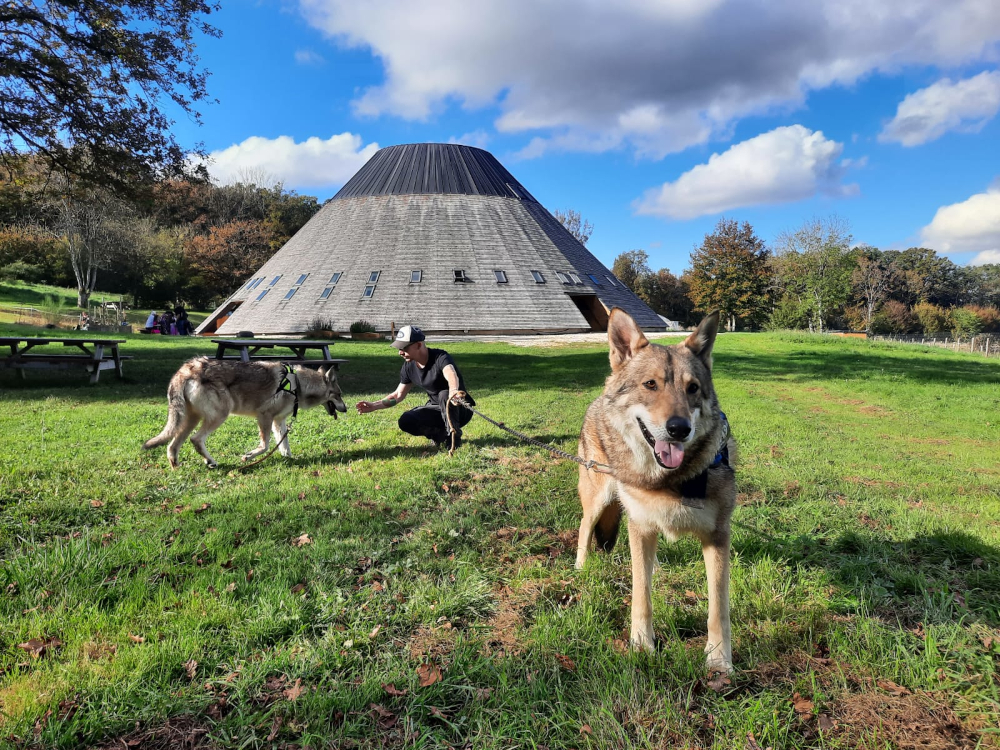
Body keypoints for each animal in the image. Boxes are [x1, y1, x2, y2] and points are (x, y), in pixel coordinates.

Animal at [576, 308, 740, 672]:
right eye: (651, 384)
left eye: (692, 388)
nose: (679, 429)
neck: (668, 481)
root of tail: (599, 396)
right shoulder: (639, 527)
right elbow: (642, 595)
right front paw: (642, 645)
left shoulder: (718, 537)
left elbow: (718, 608)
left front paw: (719, 659)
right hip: (598, 498)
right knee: (583, 529)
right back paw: (579, 568)